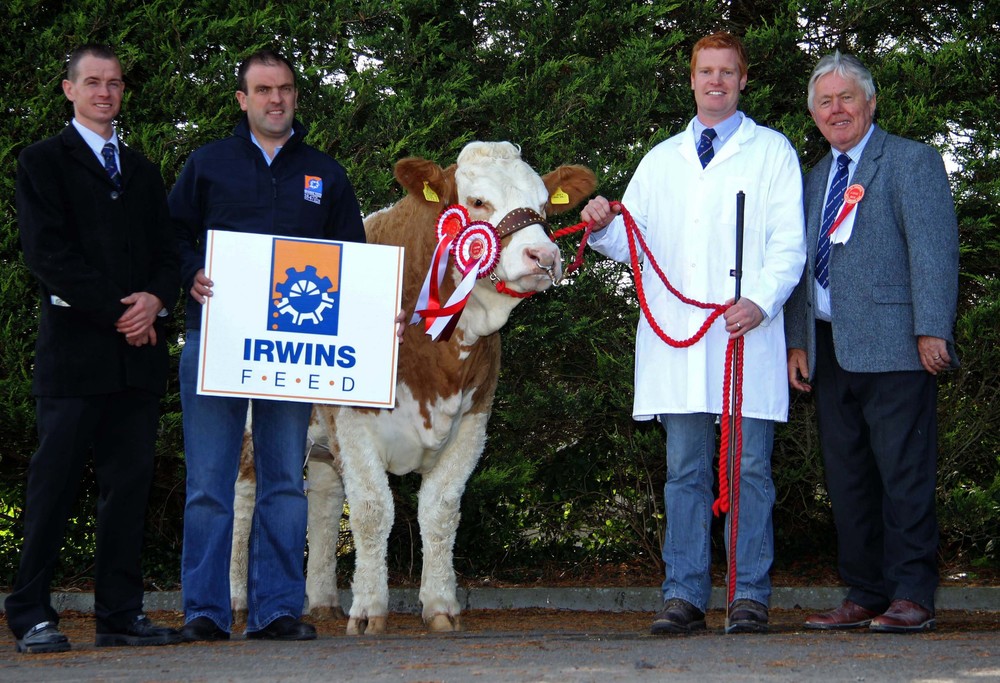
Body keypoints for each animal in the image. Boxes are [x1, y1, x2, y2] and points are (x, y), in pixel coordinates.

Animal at [229, 143, 592, 636]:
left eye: (542, 206)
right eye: (477, 202)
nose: (543, 255)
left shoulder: (473, 421)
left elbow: (440, 510)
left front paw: (440, 605)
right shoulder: (354, 418)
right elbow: (371, 510)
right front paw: (369, 609)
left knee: (323, 500)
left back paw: (322, 600)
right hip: (251, 423)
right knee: (243, 501)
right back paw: (236, 603)